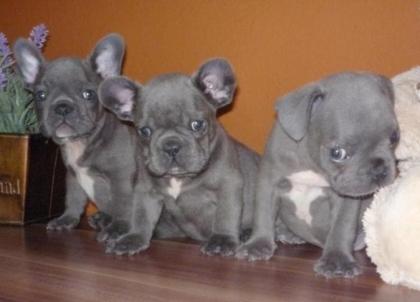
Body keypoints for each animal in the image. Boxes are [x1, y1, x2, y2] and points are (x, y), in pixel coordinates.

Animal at [13, 34, 143, 254]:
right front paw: (67, 219)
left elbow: (124, 205)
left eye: (88, 94)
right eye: (40, 95)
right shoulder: (72, 176)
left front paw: (117, 229)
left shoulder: (121, 177)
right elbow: (73, 199)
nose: (62, 107)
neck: (81, 141)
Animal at [99, 58, 260, 255]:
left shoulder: (227, 186)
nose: (171, 146)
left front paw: (222, 241)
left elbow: (226, 215)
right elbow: (141, 216)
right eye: (144, 131)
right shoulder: (146, 192)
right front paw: (133, 239)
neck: (179, 178)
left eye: (197, 125)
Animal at [238, 72, 398, 278]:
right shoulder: (269, 182)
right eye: (337, 153)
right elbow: (263, 214)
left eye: (394, 138)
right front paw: (257, 244)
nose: (379, 168)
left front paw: (337, 261)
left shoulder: (345, 199)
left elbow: (341, 227)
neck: (312, 165)